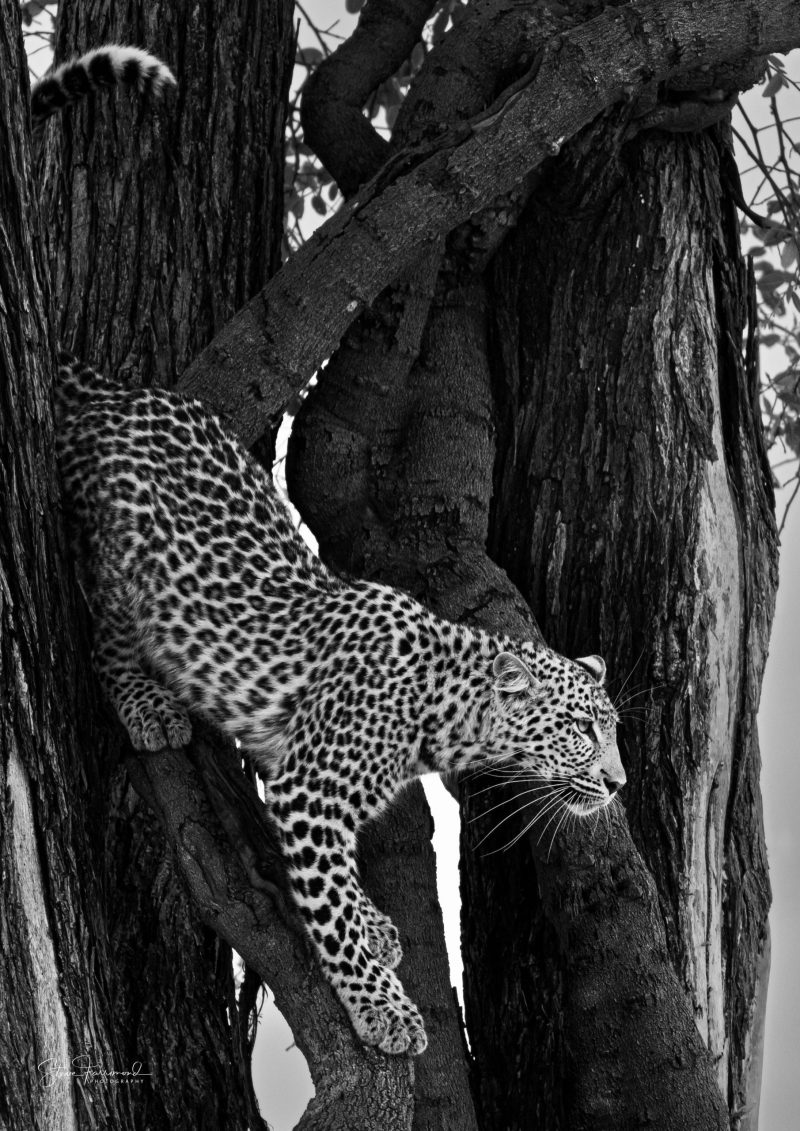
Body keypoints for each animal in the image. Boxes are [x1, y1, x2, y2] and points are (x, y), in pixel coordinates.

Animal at [39, 45, 626, 1056]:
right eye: (586, 729)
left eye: (614, 727)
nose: (622, 783)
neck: (442, 708)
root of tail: (125, 392)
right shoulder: (307, 792)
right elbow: (331, 909)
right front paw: (385, 1009)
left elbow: (347, 893)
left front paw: (384, 931)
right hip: (123, 560)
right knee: (110, 626)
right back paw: (148, 704)